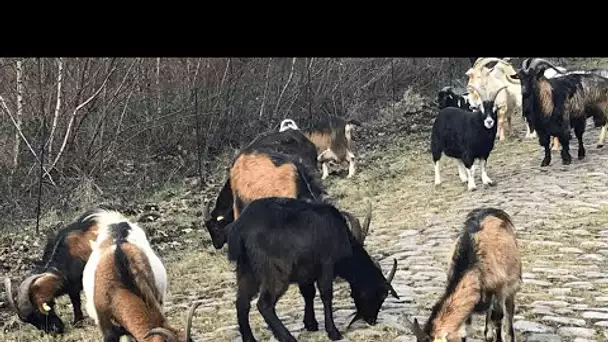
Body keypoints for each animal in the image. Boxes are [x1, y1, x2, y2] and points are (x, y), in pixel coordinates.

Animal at [223, 196, 400, 340]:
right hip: (275, 270)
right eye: (380, 295)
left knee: (242, 303)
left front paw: (311, 324)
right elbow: (326, 294)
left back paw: (250, 339)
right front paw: (333, 332)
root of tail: (240, 230)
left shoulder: (305, 272)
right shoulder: (326, 265)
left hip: (246, 269)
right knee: (264, 304)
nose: (372, 320)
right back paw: (288, 338)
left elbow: (308, 293)